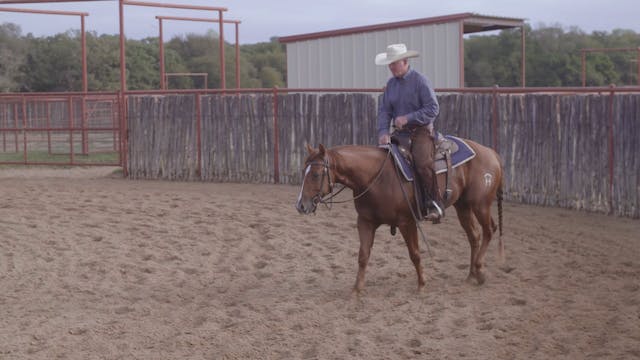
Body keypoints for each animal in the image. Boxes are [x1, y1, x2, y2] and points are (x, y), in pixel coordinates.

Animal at [296, 140, 504, 292]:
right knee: (474, 236)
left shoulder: (407, 222)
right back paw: (471, 275)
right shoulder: (365, 222)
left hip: (480, 204)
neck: (375, 177)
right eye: (303, 171)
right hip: (463, 206)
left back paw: (479, 270)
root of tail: (491, 152)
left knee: (489, 230)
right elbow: (363, 255)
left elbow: (415, 254)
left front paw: (421, 284)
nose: (300, 205)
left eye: (316, 174)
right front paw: (356, 290)